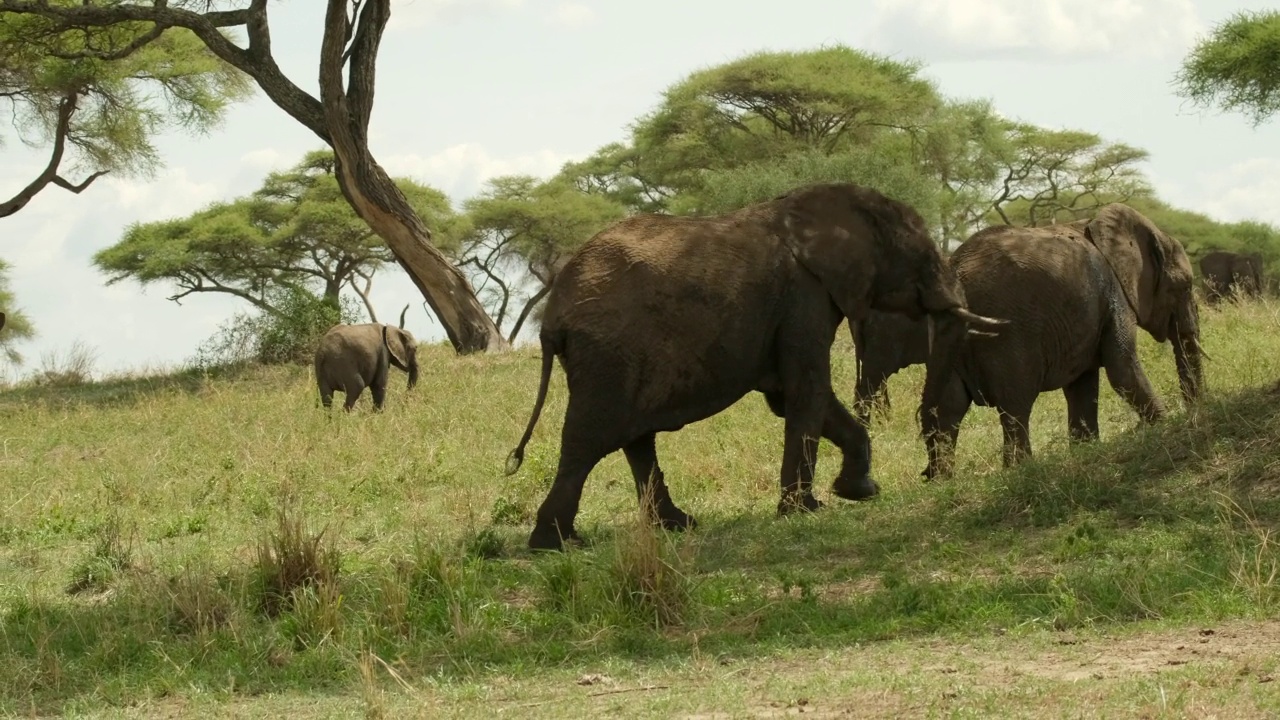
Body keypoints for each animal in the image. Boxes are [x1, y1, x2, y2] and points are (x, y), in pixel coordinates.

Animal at [501, 180, 1008, 548]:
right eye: (923, 255)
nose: (929, 476)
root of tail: (555, 311)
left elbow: (793, 397)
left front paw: (857, 491)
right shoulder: (804, 295)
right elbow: (807, 391)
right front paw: (805, 509)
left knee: (635, 440)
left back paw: (678, 525)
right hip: (608, 353)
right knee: (588, 440)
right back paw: (555, 544)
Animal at [916, 203, 1203, 476]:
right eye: (1185, 286)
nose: (1193, 413)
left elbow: (1082, 386)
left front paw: (1086, 451)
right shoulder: (1115, 295)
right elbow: (1122, 369)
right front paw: (1164, 426)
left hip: (946, 338)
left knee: (947, 408)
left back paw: (943, 482)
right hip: (1005, 335)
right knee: (1014, 404)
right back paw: (1020, 470)